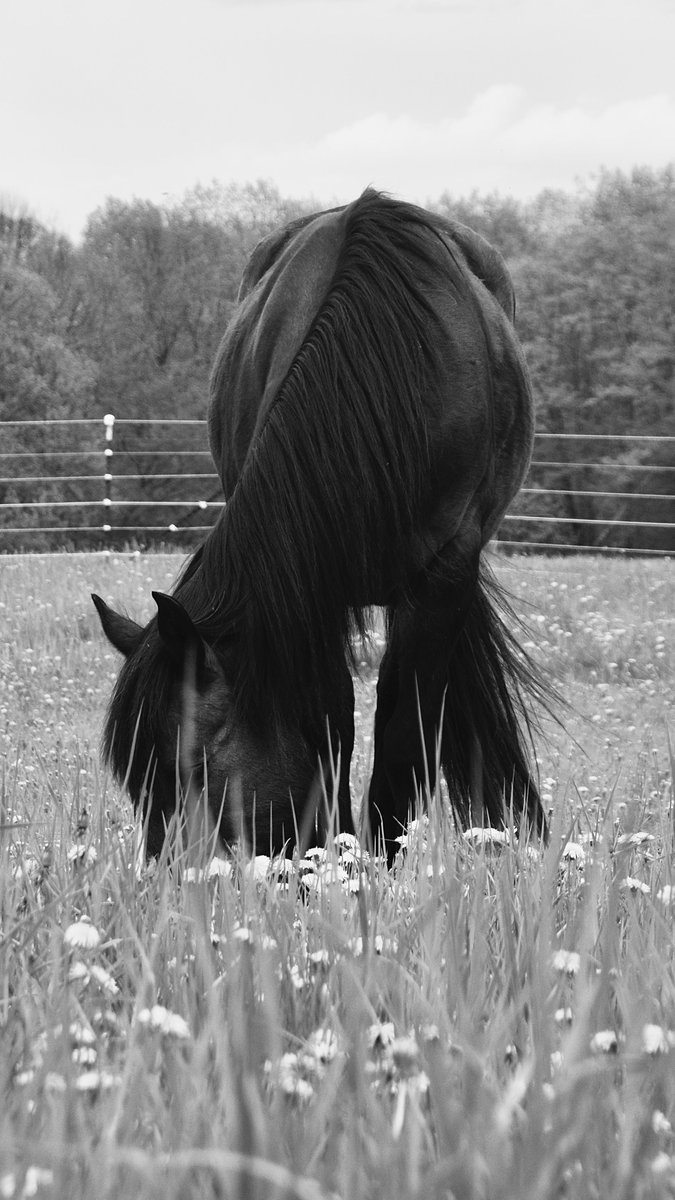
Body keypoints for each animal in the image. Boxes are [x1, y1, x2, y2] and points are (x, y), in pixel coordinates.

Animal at [92, 188, 548, 863]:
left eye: (188, 769)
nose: (166, 881)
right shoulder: (310, 590)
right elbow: (331, 718)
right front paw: (331, 849)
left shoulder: (440, 579)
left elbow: (405, 725)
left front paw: (374, 860)